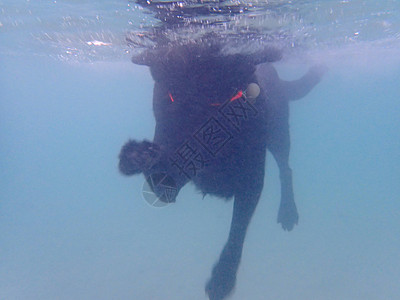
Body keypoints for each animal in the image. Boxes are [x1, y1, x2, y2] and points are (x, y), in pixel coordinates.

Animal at [119, 42, 324, 300]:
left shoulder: (251, 180)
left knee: (285, 168)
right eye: (174, 96)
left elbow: (237, 230)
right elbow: (161, 176)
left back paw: (288, 211)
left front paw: (223, 278)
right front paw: (135, 155)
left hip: (278, 133)